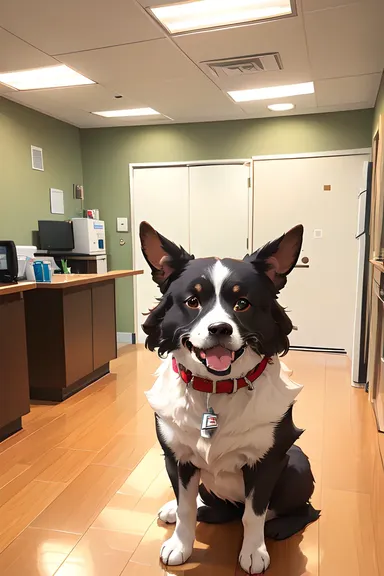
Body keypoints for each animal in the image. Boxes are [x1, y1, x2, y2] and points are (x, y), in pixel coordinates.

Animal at [140, 219, 320, 572]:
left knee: (304, 509)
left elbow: (254, 515)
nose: (220, 329)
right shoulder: (176, 457)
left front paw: (253, 552)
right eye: (192, 301)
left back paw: (280, 526)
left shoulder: (266, 462)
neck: (216, 389)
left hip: (296, 462)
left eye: (242, 303)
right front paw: (180, 545)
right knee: (212, 508)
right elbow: (186, 508)